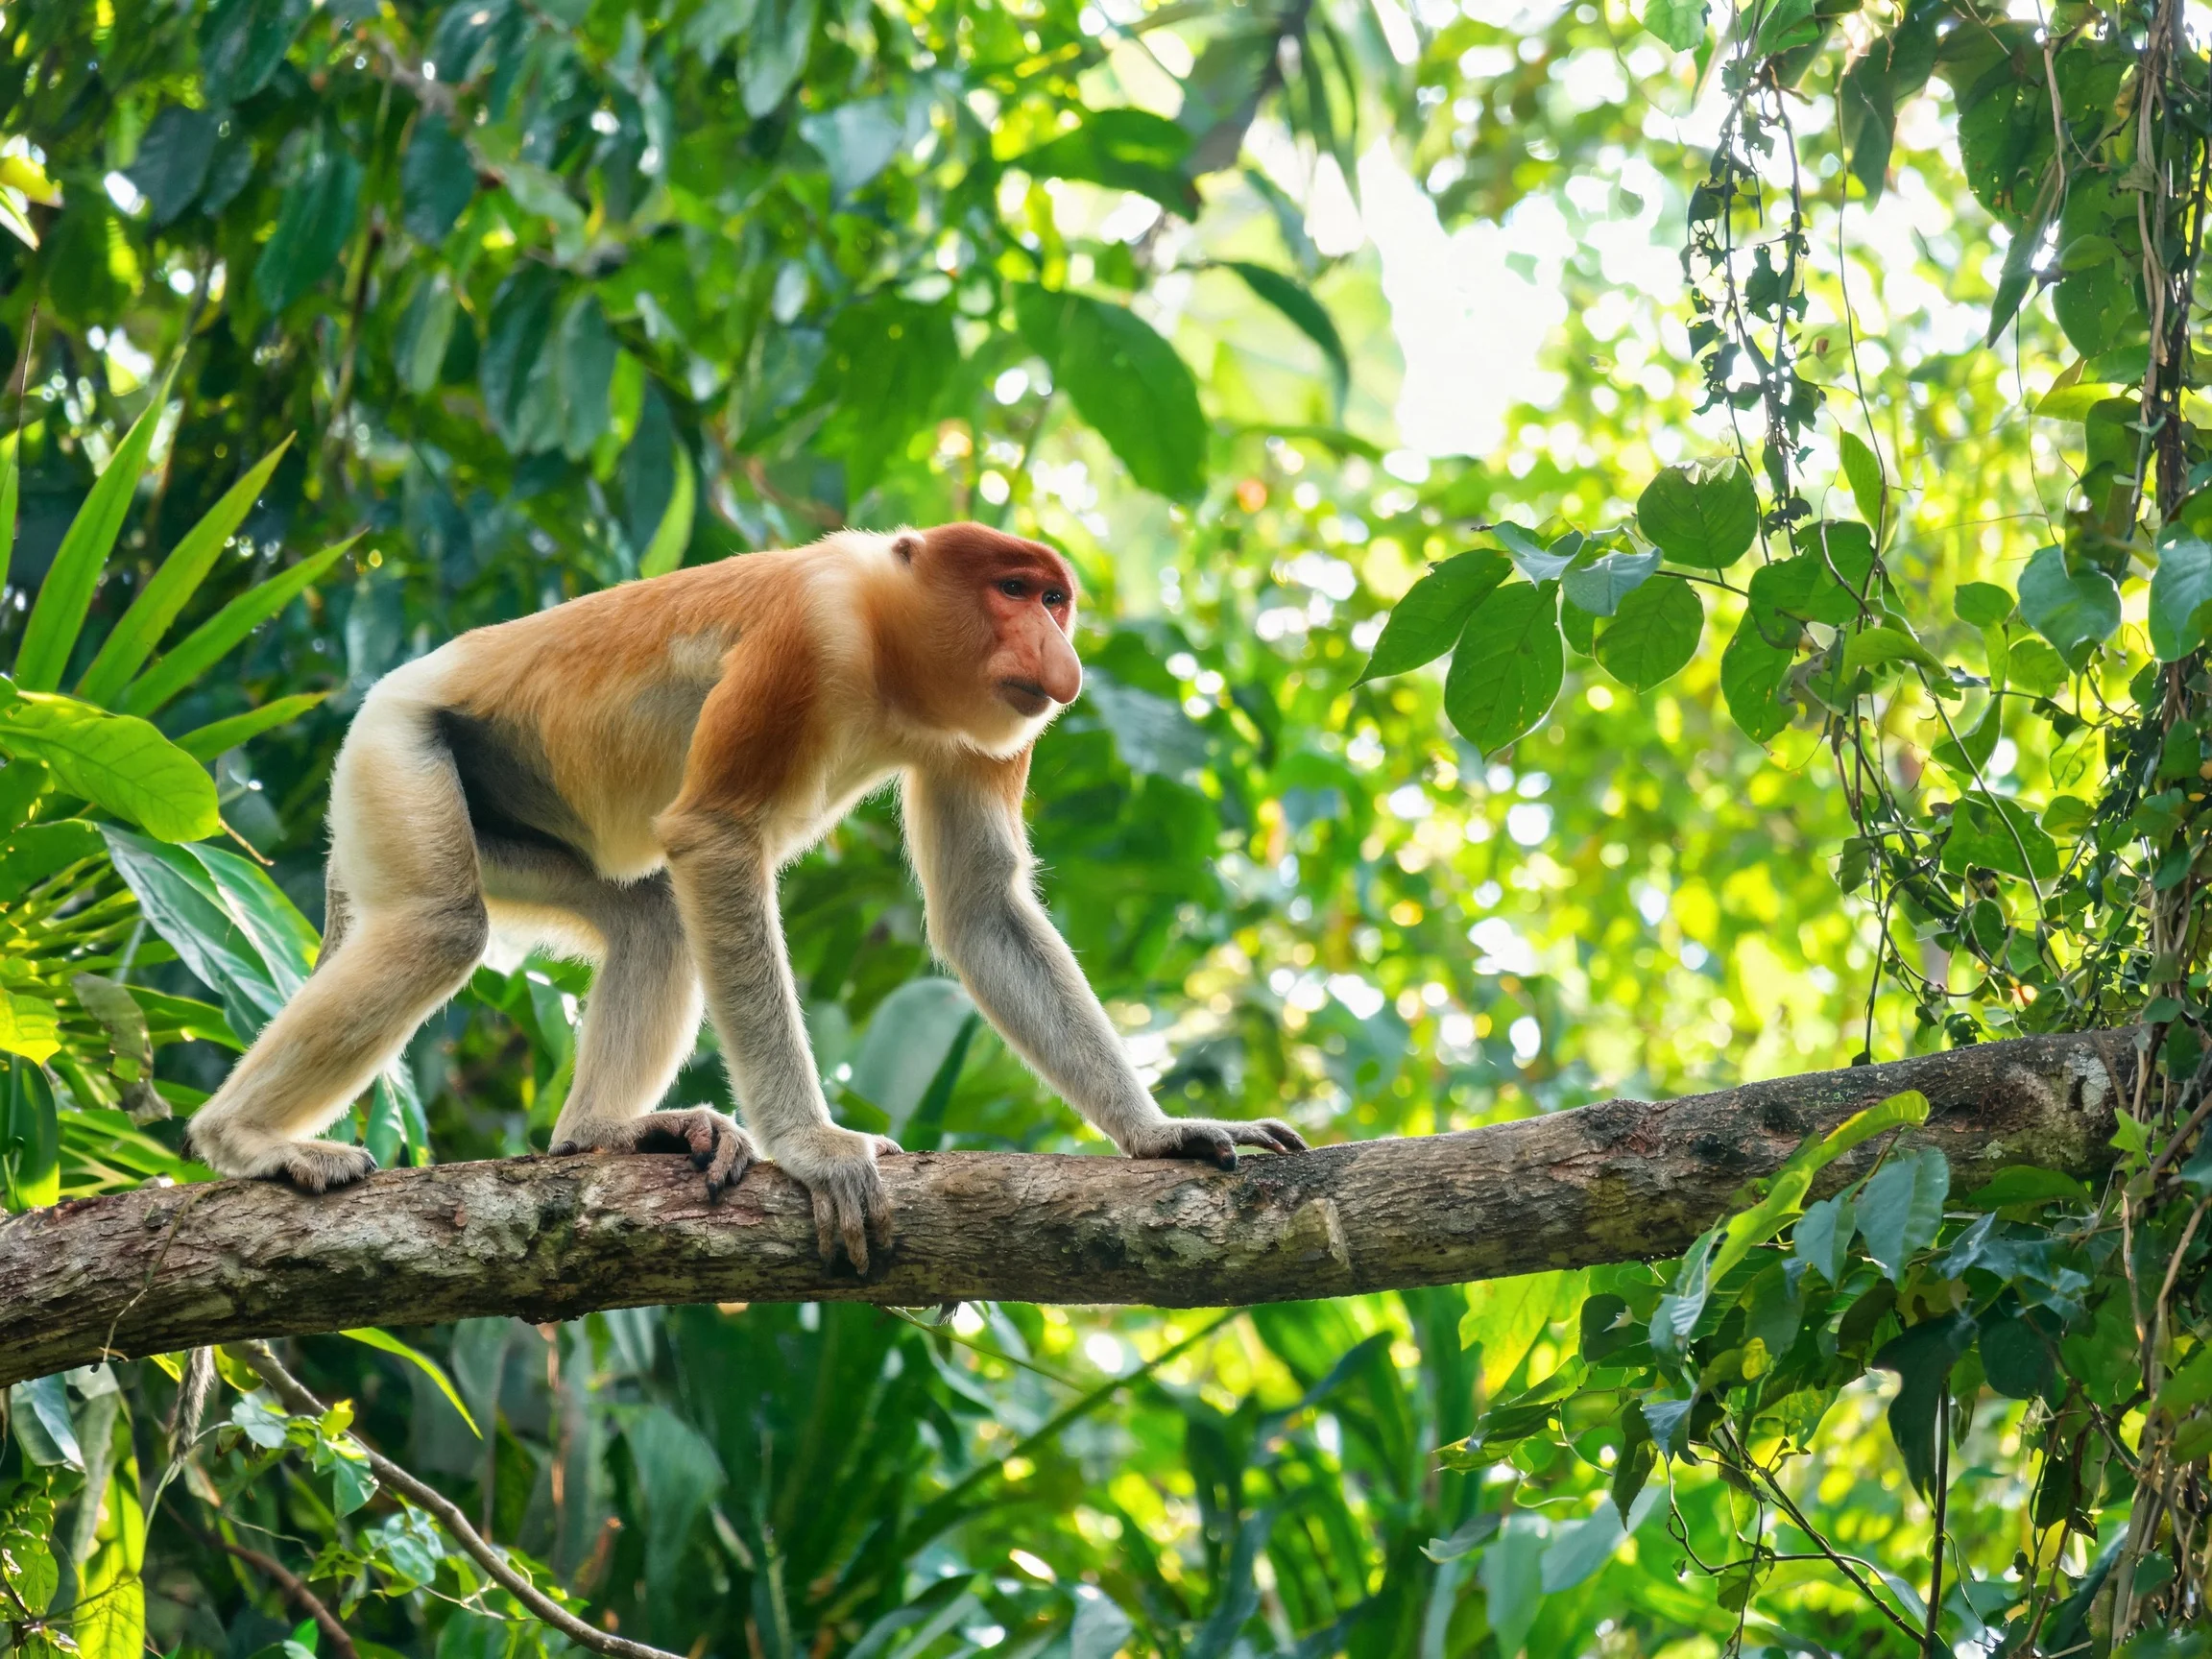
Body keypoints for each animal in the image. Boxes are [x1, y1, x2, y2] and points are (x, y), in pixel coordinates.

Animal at [182, 522, 1307, 1270]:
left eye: (1056, 601)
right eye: (1016, 589)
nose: (1061, 656)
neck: (889, 653)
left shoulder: (982, 736)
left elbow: (982, 915)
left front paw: (1164, 1135)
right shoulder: (802, 640)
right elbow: (716, 837)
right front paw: (816, 1151)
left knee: (648, 922)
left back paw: (604, 1136)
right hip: (399, 750)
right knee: (439, 927)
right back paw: (246, 1142)